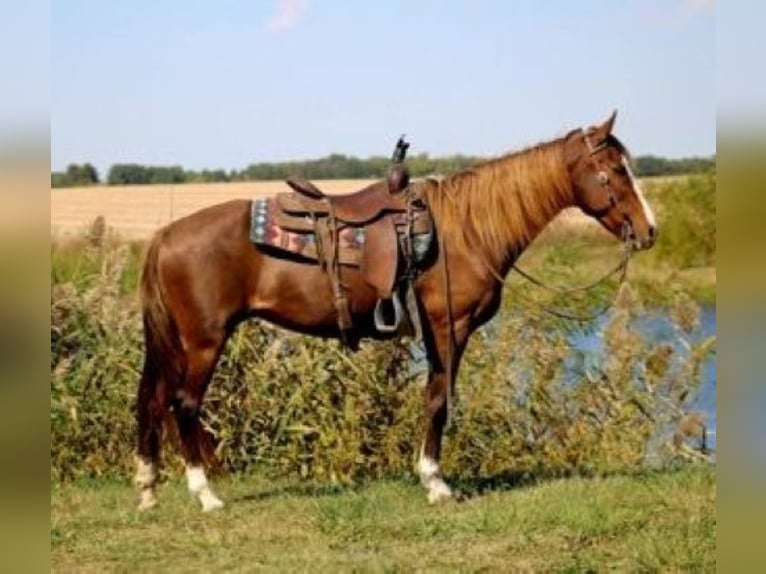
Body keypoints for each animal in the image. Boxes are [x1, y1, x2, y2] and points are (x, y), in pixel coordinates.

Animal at [134, 111, 657, 511]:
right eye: (614, 170)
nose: (649, 230)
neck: (465, 229)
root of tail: (165, 235)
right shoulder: (449, 327)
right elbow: (439, 400)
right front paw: (436, 482)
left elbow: (434, 398)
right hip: (204, 340)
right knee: (184, 405)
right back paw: (206, 496)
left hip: (177, 343)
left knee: (153, 401)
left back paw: (147, 489)